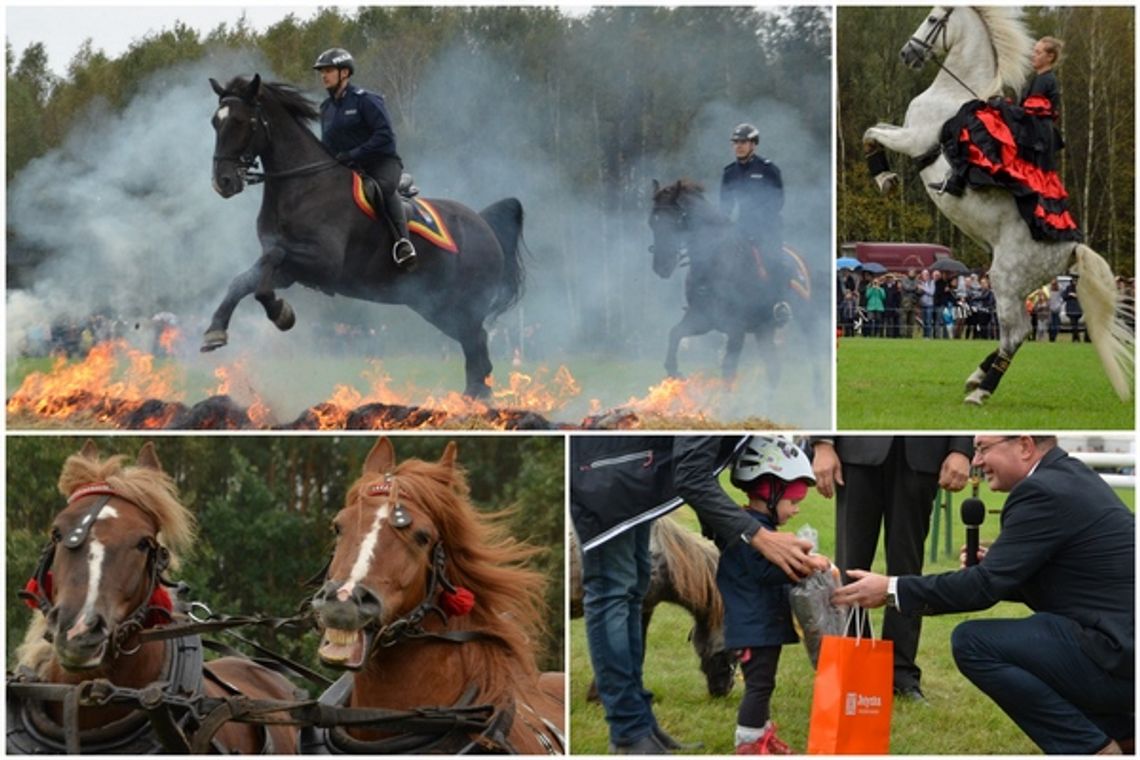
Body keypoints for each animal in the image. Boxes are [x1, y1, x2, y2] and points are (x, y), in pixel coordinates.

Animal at [206, 75, 524, 398]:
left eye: (242, 121)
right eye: (215, 122)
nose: (223, 182)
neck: (304, 185)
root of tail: (483, 224)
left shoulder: (323, 263)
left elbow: (271, 262)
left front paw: (280, 313)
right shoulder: (290, 272)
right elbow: (245, 280)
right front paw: (216, 331)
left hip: (464, 307)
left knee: (478, 351)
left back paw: (474, 400)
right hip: (437, 307)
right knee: (476, 351)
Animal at [652, 176, 811, 380]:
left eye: (674, 222)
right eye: (652, 222)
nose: (660, 266)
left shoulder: (736, 329)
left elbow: (728, 370)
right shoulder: (702, 319)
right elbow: (675, 333)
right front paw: (673, 369)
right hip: (764, 329)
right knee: (773, 369)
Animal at [861, 5, 1130, 407]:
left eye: (933, 18)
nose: (908, 54)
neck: (952, 91)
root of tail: (1071, 249)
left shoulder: (913, 139)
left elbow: (871, 132)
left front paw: (883, 178)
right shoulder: (905, 131)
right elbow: (876, 127)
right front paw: (886, 177)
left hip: (1005, 279)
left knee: (1015, 334)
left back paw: (981, 389)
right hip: (1015, 287)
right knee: (1017, 334)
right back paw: (977, 377)